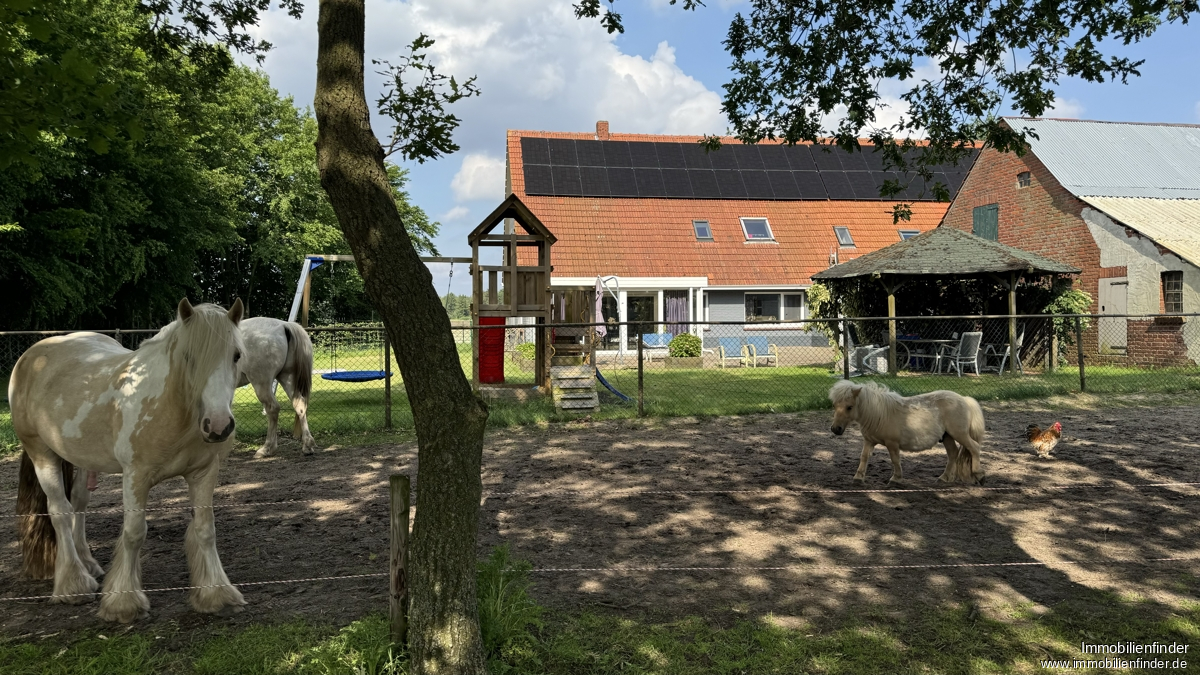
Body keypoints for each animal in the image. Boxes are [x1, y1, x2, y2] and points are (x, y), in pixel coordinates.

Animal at [10, 298, 247, 623]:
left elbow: (205, 530)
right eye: (189, 356)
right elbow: (134, 533)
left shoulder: (204, 472)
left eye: (236, 355)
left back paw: (88, 563)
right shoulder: (136, 476)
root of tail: (33, 355)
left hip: (83, 458)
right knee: (60, 511)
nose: (219, 426)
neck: (171, 408)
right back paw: (74, 583)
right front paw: (123, 602)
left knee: (79, 504)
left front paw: (216, 593)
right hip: (41, 453)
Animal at [237, 317, 315, 458]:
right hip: (287, 377)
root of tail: (284, 325)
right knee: (300, 405)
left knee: (272, 408)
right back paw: (307, 446)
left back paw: (267, 448)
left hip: (261, 383)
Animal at [828, 380, 986, 485]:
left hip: (959, 434)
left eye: (849, 407)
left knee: (974, 448)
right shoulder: (869, 441)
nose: (836, 429)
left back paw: (979, 475)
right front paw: (858, 477)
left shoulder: (892, 443)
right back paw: (944, 478)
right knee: (953, 454)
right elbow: (864, 457)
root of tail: (964, 399)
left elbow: (895, 459)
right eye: (834, 405)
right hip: (947, 437)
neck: (879, 413)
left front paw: (896, 478)